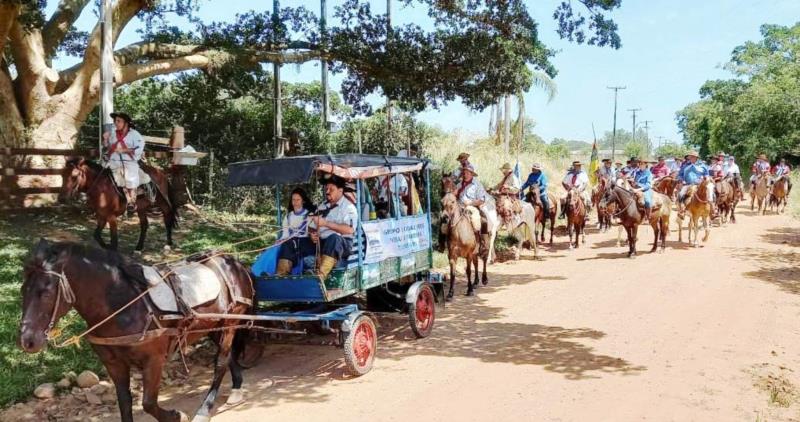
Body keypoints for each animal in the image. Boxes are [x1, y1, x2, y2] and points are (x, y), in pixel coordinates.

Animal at [18, 239, 253, 420]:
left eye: (46, 292)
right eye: (22, 290)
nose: (27, 340)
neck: (124, 305)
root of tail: (233, 262)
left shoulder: (154, 360)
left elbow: (148, 403)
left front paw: (177, 415)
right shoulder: (113, 363)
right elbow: (124, 401)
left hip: (231, 321)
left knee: (220, 362)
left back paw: (205, 409)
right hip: (214, 325)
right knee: (229, 356)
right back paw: (237, 388)